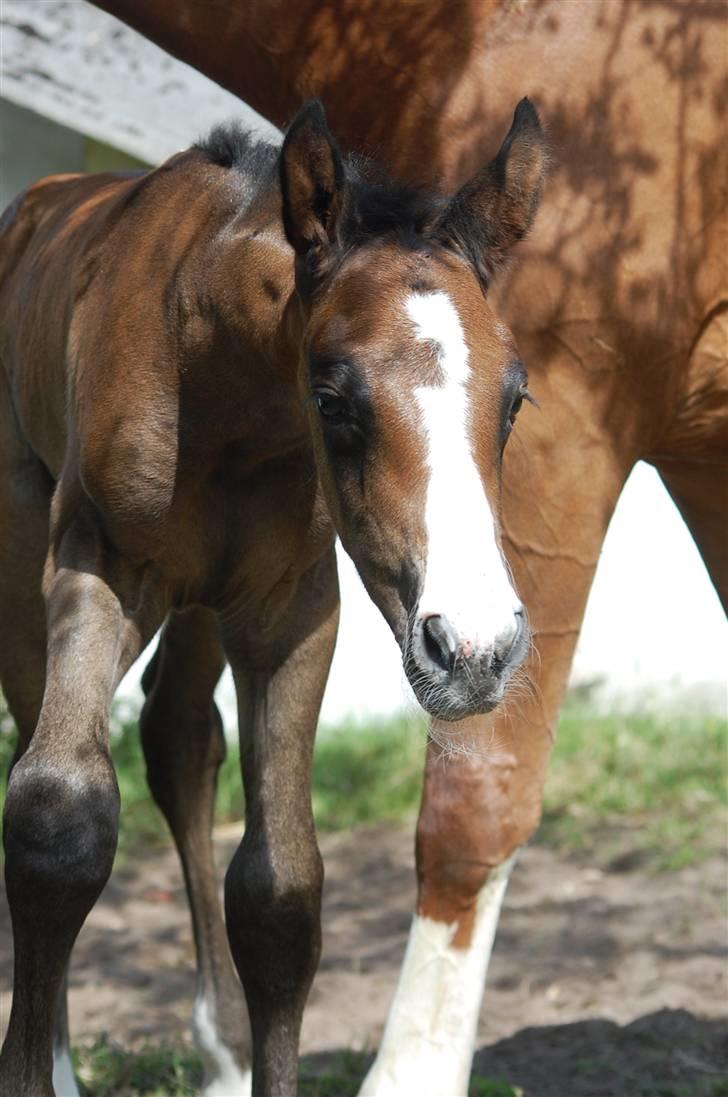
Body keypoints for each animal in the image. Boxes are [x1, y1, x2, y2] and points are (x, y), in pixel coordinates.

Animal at [0, 98, 546, 1092]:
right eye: (332, 397)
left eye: (515, 397)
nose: (475, 649)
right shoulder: (94, 563)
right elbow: (57, 817)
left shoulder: (292, 607)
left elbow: (280, 894)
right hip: (24, 555)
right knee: (45, 756)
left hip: (202, 602)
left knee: (178, 737)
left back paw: (218, 1047)